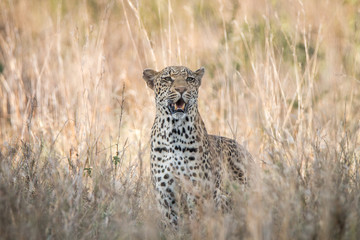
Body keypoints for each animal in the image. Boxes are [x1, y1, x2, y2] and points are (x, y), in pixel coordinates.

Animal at [142, 65, 252, 227]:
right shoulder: (166, 196)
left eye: (190, 79)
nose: (181, 89)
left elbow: (197, 223)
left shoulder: (197, 191)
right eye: (167, 79)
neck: (175, 132)